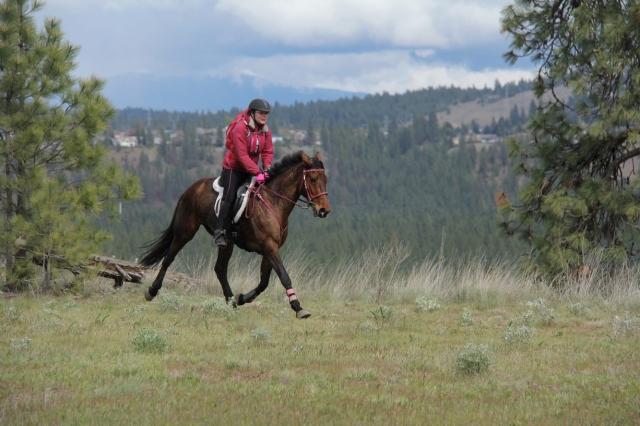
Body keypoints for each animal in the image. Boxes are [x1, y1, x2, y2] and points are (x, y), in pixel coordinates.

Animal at [139, 151, 330, 318]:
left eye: (326, 180)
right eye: (313, 179)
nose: (324, 210)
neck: (274, 201)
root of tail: (192, 187)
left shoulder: (270, 248)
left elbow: (264, 282)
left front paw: (242, 298)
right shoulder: (269, 245)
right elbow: (284, 276)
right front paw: (298, 307)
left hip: (227, 242)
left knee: (220, 269)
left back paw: (232, 302)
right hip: (185, 232)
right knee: (168, 258)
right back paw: (152, 291)